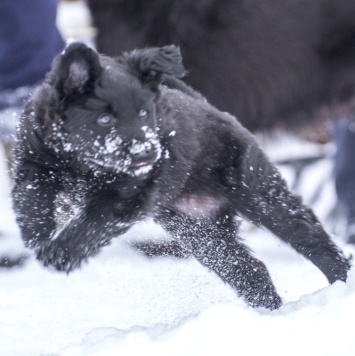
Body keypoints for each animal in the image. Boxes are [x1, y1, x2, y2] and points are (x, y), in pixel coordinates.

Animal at [12, 43, 352, 310]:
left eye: (145, 112)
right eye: (105, 119)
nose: (149, 153)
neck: (81, 160)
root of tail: (210, 107)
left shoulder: (127, 195)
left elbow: (93, 220)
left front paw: (59, 254)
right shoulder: (33, 158)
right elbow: (29, 197)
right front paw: (37, 235)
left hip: (259, 193)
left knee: (312, 238)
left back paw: (341, 285)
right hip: (199, 231)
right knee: (247, 268)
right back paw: (268, 311)